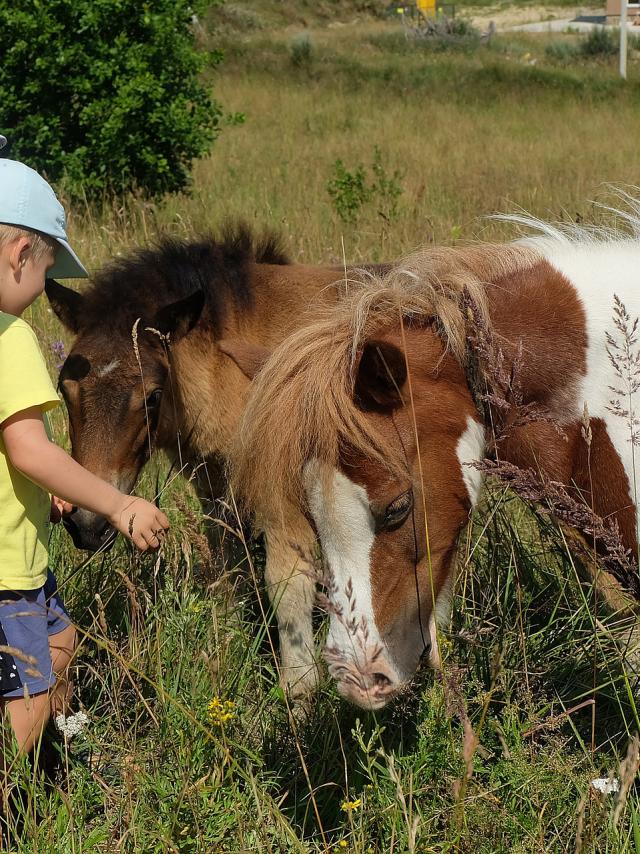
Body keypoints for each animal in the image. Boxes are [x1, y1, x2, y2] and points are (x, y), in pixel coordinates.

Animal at [46, 227, 384, 704]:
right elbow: (226, 574)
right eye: (64, 388)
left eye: (152, 395)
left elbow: (288, 583)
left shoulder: (282, 493)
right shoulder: (216, 490)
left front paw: (298, 696)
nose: (87, 525)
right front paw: (224, 653)